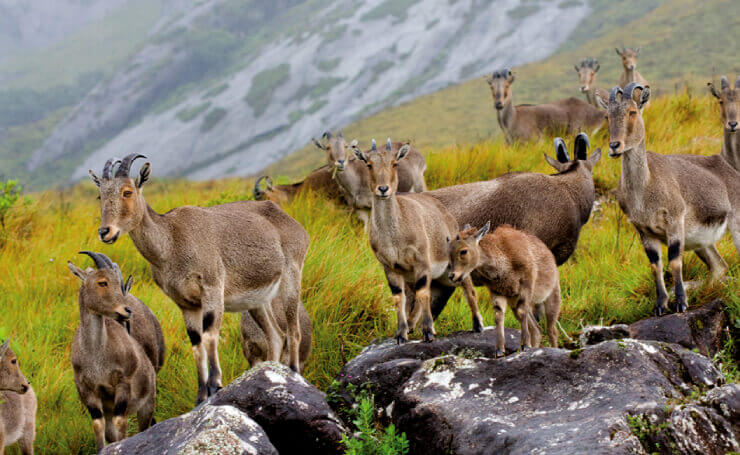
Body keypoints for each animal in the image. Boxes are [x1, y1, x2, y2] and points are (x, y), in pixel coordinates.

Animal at [89, 155, 310, 404]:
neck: (171, 242)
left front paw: (215, 384)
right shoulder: (185, 303)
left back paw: (293, 373)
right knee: (275, 335)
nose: (105, 232)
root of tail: (296, 226)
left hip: (291, 277)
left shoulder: (212, 287)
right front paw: (201, 395)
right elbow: (196, 343)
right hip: (257, 301)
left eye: (127, 191)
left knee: (293, 331)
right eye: (100, 195)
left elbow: (210, 335)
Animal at [356, 141, 480, 344]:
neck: (394, 236)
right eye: (368, 164)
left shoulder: (421, 260)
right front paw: (400, 334)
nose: (383, 189)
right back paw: (412, 326)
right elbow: (399, 297)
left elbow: (423, 293)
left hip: (454, 268)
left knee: (468, 290)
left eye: (395, 163)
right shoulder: (389, 266)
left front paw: (428, 332)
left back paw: (478, 325)